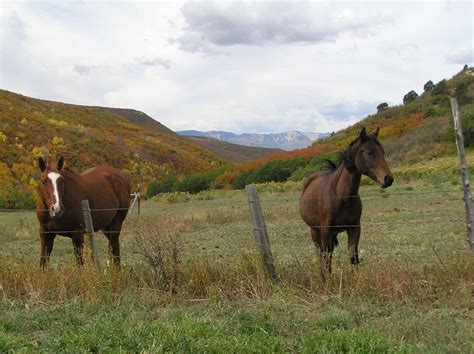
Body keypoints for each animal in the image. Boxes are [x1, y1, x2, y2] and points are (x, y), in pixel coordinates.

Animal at [300, 129, 392, 276]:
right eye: (369, 152)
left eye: (383, 152)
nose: (388, 179)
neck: (341, 195)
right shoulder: (325, 230)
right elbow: (326, 257)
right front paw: (327, 280)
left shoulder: (354, 228)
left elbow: (353, 257)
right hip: (315, 231)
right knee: (322, 254)